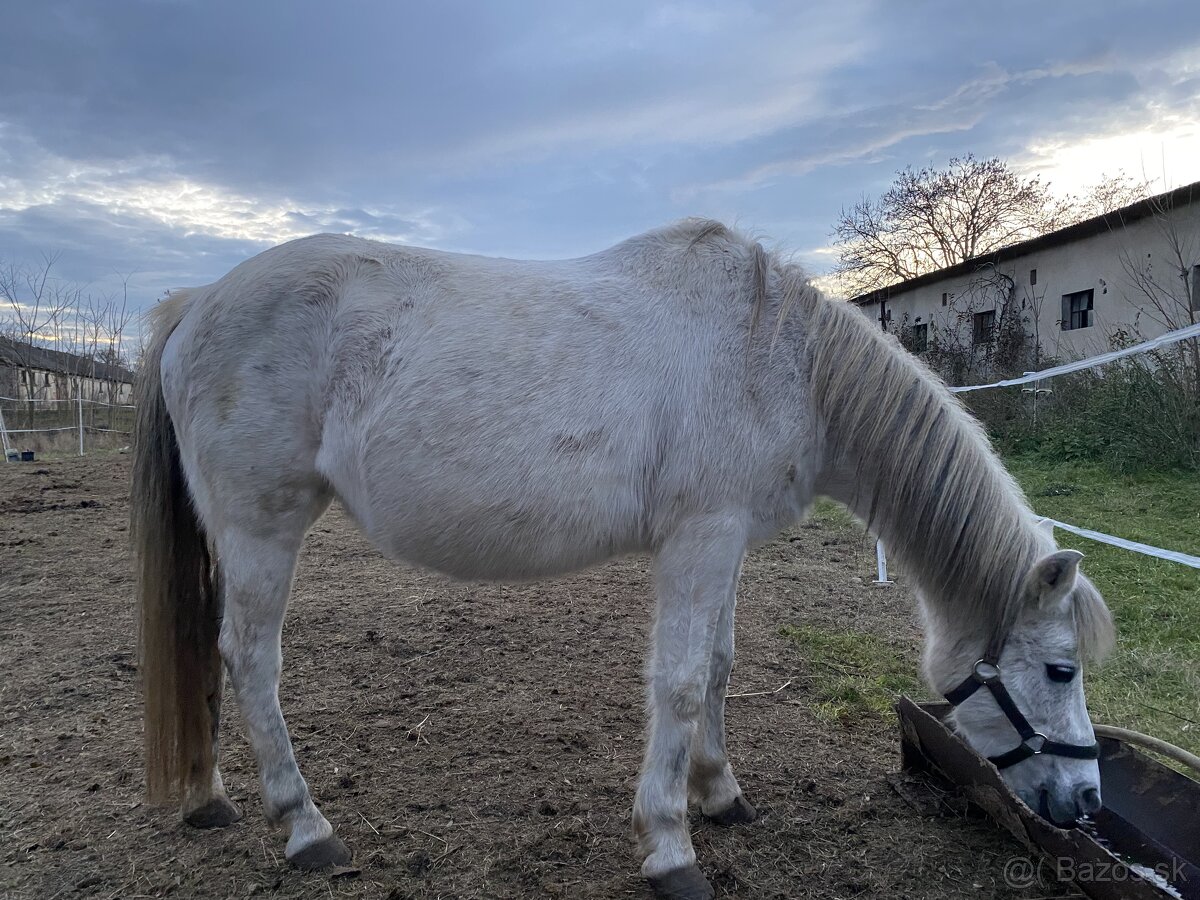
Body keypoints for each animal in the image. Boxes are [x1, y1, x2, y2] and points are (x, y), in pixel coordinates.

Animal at [133, 220, 1113, 900]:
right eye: (1060, 670)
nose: (1086, 802)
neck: (777, 356)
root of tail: (197, 304)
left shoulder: (726, 542)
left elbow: (718, 668)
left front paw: (721, 793)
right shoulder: (700, 540)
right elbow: (678, 683)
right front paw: (671, 847)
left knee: (213, 661)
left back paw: (211, 798)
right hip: (263, 527)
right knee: (250, 661)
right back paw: (305, 828)